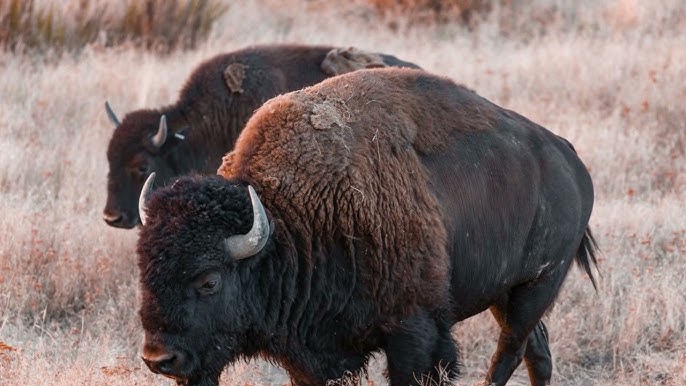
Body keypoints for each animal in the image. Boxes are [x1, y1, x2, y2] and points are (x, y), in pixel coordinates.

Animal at [137, 68, 600, 384]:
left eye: (209, 281)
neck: (290, 221)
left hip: (535, 286)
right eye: (144, 273)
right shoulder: (309, 355)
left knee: (511, 350)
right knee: (536, 351)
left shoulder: (415, 332)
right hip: (507, 294)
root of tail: (570, 159)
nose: (159, 359)